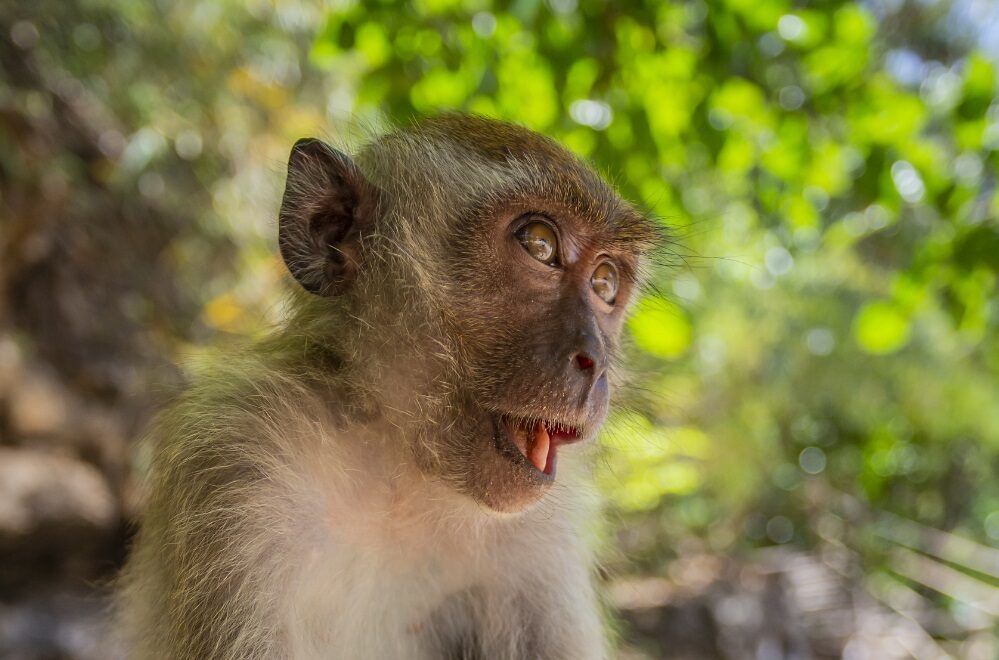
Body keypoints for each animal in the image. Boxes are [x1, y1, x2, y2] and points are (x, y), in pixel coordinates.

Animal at [114, 114, 658, 660]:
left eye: (605, 283)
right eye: (540, 246)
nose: (596, 361)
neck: (397, 471)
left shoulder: (537, 541)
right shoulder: (237, 461)